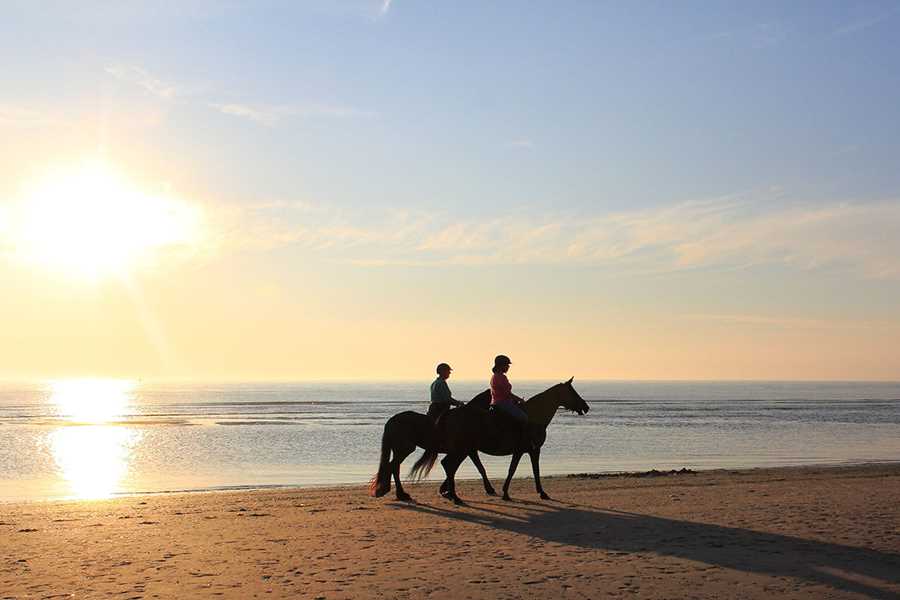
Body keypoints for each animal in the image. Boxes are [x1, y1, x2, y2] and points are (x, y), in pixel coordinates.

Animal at [370, 380, 592, 502]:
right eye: (573, 392)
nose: (586, 406)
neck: (533, 417)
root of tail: (393, 419)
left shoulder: (485, 450)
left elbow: (491, 468)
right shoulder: (529, 449)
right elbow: (524, 470)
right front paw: (536, 493)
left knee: (397, 466)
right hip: (410, 448)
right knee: (399, 466)